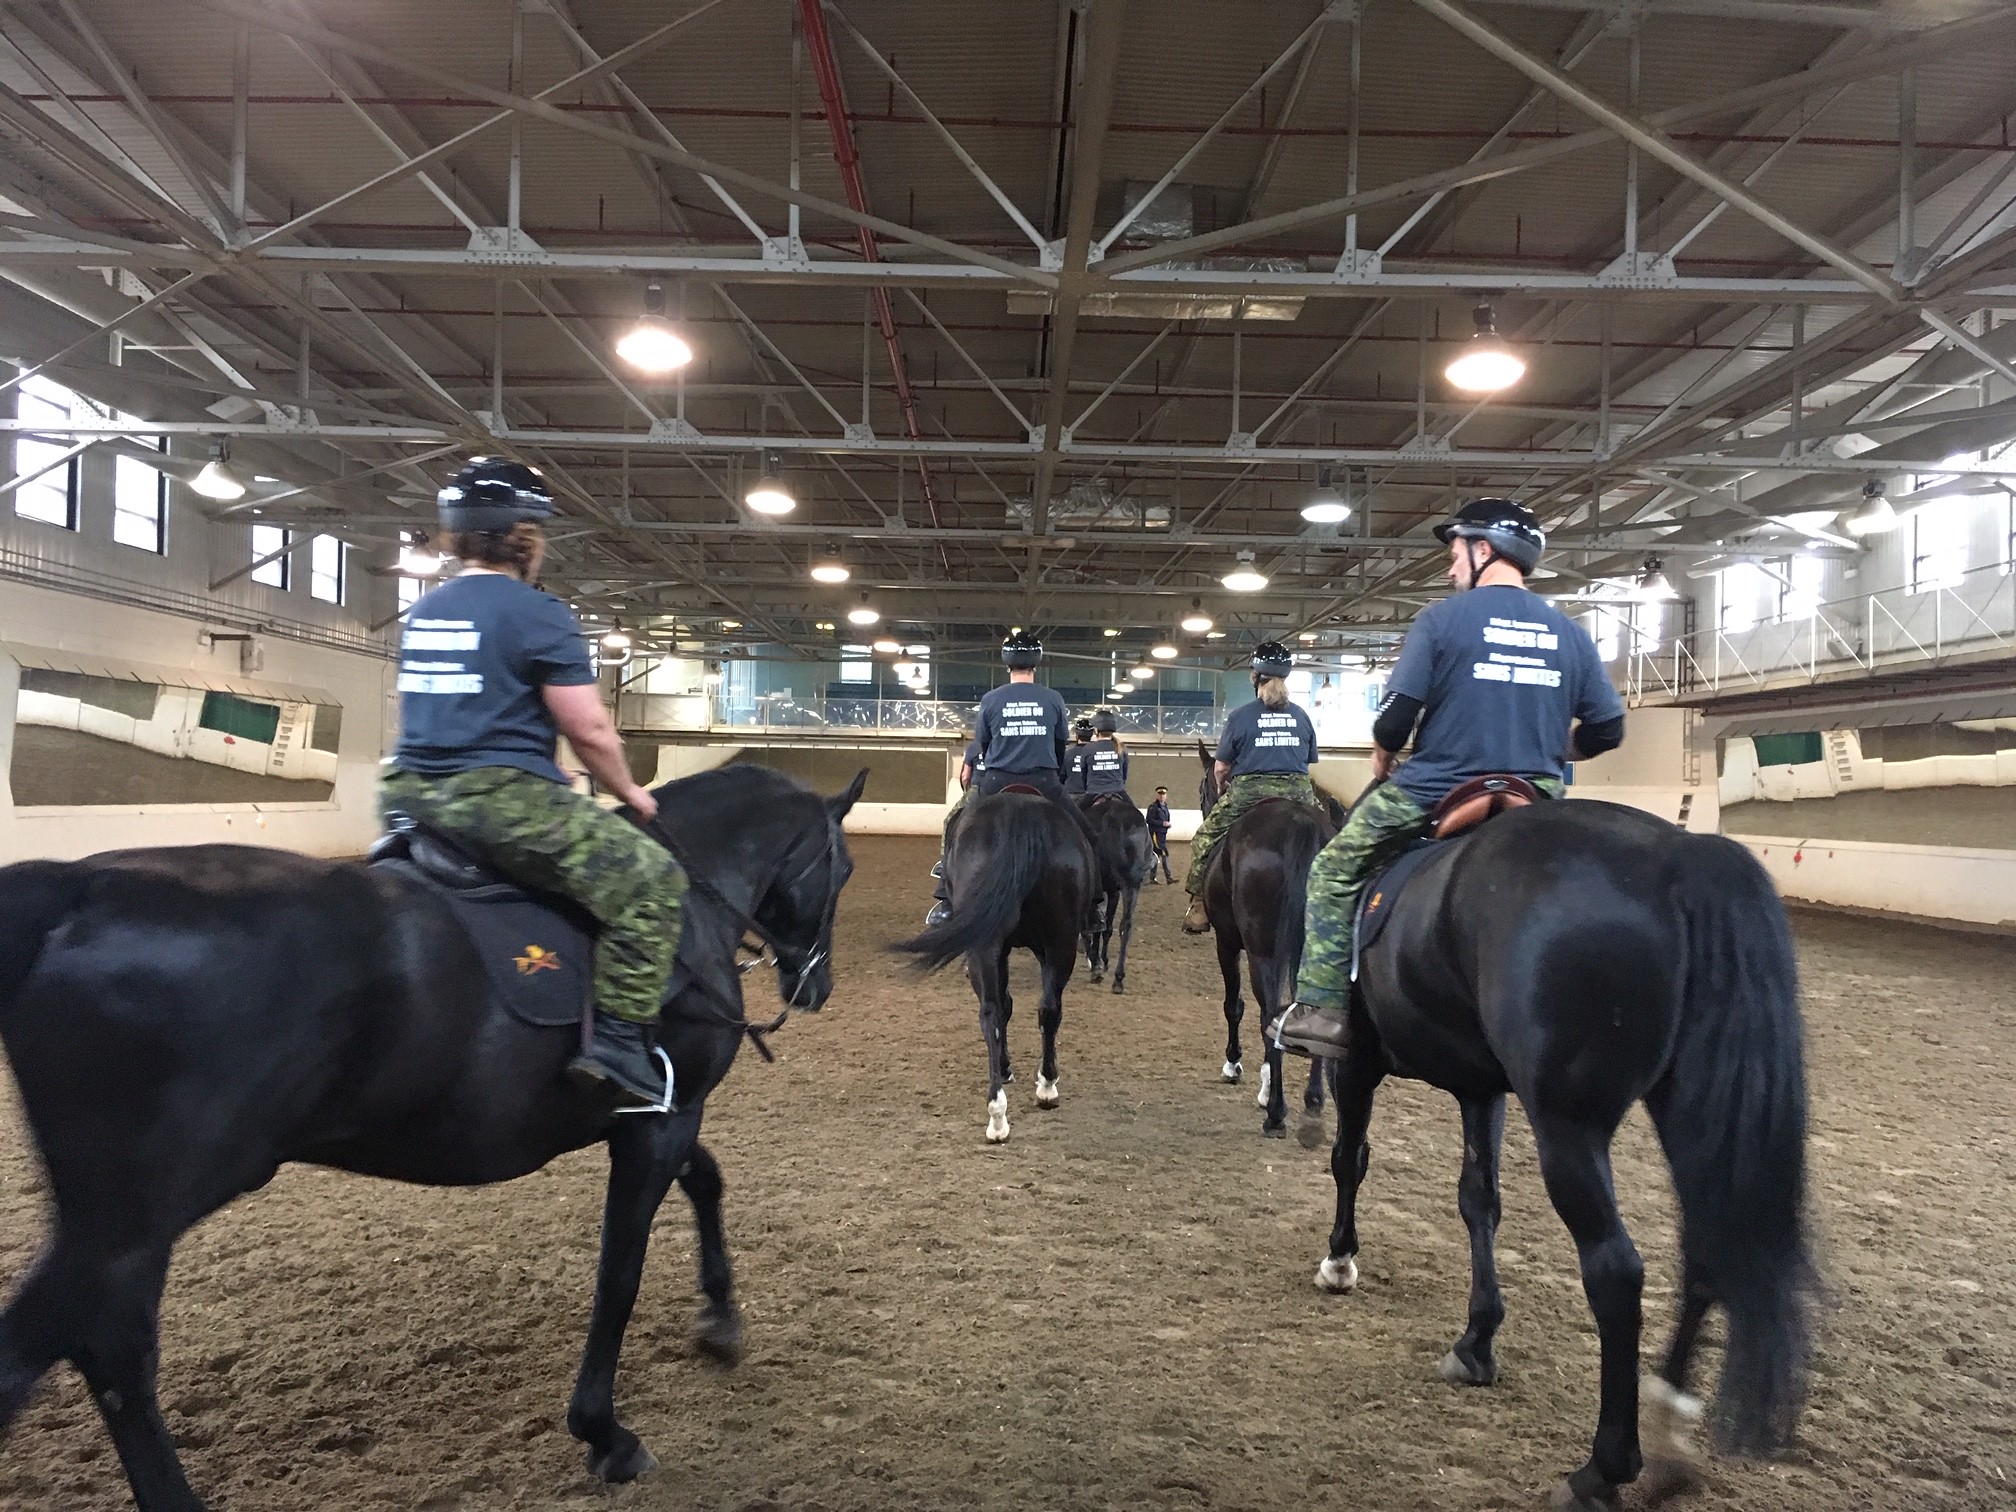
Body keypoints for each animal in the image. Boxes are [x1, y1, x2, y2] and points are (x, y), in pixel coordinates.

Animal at [0, 770, 858, 1512]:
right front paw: (604, 1432)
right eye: (841, 868)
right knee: (92, 1346)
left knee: (102, 1346)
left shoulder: (655, 1112)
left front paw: (721, 1321)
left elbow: (706, 1181)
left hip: (124, 1215)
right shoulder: (662, 1121)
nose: (816, 985)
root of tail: (77, 893)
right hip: (139, 1212)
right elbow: (620, 1274)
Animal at [891, 794, 1096, 1145]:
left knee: (995, 1012)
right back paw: (1037, 1092)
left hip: (993, 946)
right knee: (1043, 1009)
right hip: (1055, 942)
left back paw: (1004, 1110)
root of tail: (1020, 813)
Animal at [1080, 794, 1145, 995]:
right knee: (1126, 925)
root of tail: (1112, 816)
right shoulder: (1114, 890)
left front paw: (1097, 963)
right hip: (1131, 885)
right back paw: (1118, 979)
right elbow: (1107, 928)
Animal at [1185, 753, 1346, 1145]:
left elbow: (1235, 1005)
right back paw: (1313, 1104)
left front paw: (1237, 1067)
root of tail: (1300, 825)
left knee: (1270, 1011)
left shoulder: (1227, 941)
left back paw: (1275, 1113)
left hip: (1263, 951)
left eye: (1202, 787)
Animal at [1306, 798, 1814, 1507]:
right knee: (1710, 1250)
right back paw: (1668, 1430)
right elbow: (1479, 1202)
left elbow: (1350, 1158)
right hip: (1692, 1113)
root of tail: (1682, 860)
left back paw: (1604, 1468)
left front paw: (1339, 1260)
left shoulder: (1355, 1064)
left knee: (1616, 1272)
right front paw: (1477, 1340)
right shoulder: (1481, 1088)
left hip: (1567, 1127)